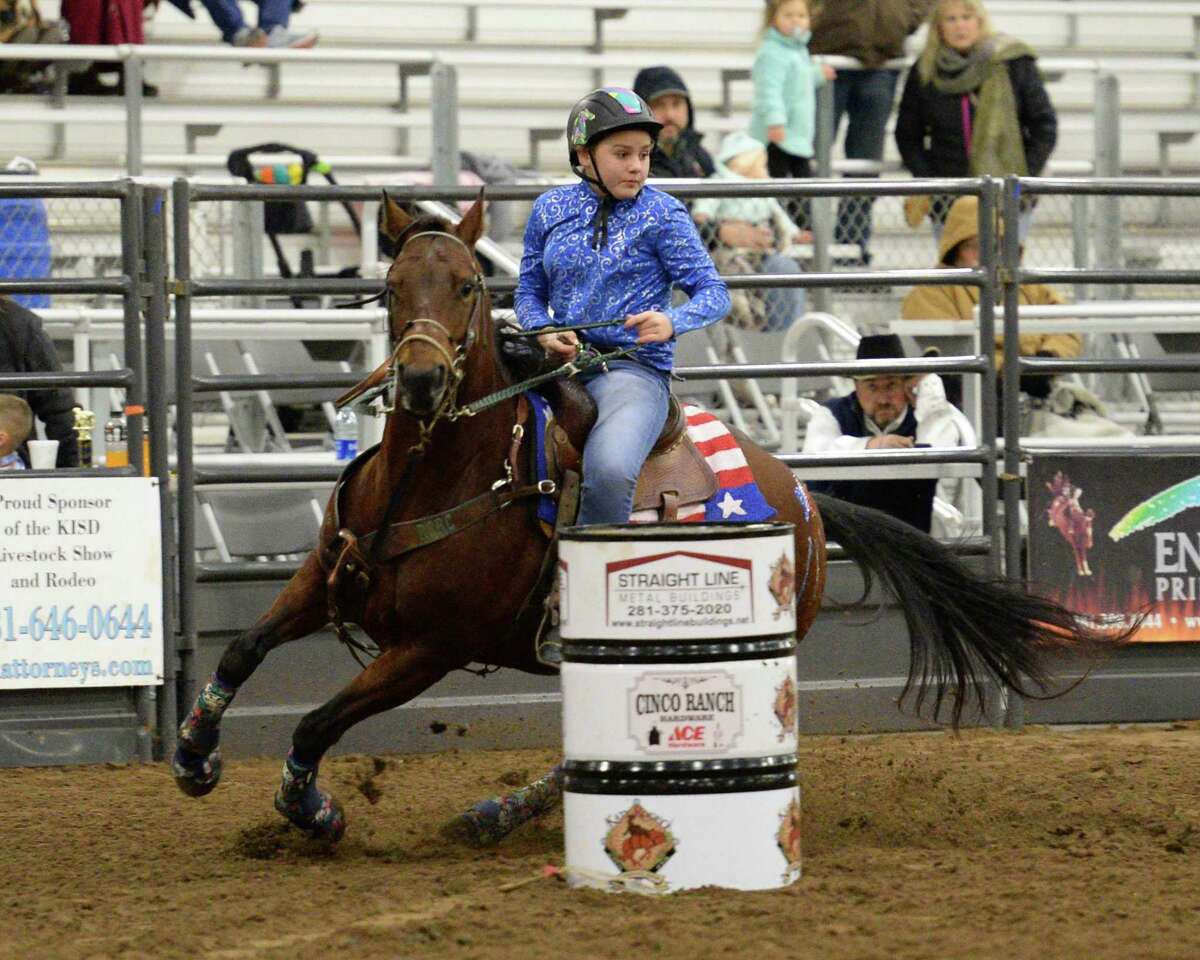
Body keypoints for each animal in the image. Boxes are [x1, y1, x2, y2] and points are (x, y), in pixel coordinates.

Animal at [174, 193, 1128, 840]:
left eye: (470, 285)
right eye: (391, 283)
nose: (417, 380)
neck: (436, 476)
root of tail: (808, 499)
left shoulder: (429, 648)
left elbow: (316, 719)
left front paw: (312, 806)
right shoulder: (322, 577)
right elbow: (244, 649)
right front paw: (192, 756)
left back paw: (496, 813)